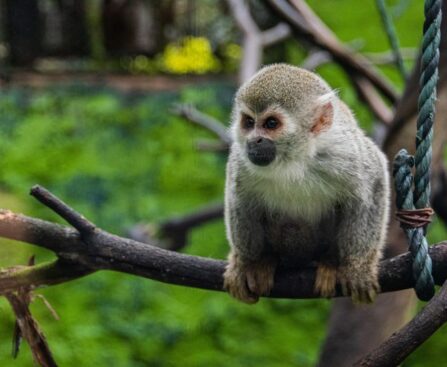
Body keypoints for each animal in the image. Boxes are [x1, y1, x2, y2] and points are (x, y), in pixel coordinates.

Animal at [223, 64, 388, 304]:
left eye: (271, 124)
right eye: (249, 123)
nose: (254, 140)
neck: (293, 160)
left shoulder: (344, 151)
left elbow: (374, 180)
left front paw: (359, 267)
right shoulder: (242, 157)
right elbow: (240, 199)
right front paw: (246, 264)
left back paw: (330, 261)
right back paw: (267, 259)